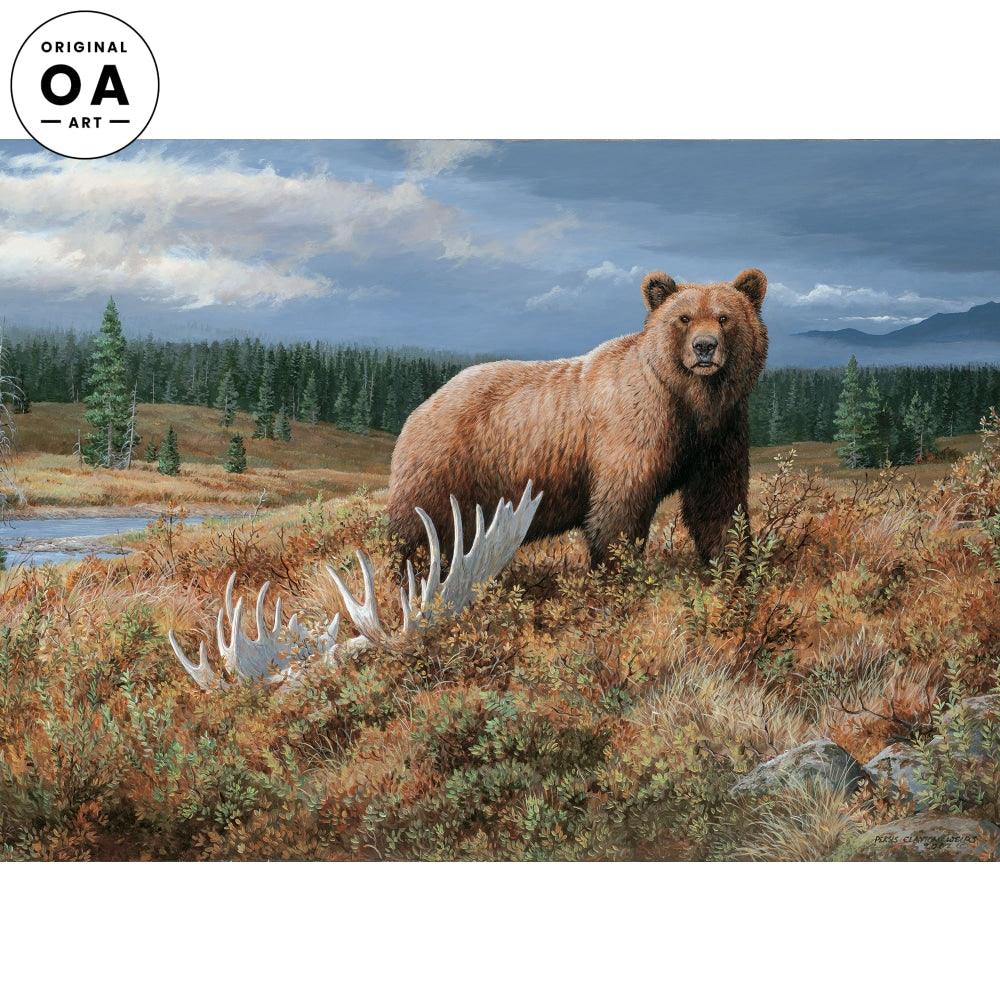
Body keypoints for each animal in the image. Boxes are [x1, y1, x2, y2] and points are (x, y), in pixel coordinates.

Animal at [386, 268, 768, 566]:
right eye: (684, 318)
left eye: (724, 317)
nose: (704, 347)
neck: (691, 401)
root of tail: (423, 405)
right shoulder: (633, 433)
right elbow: (619, 511)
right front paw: (616, 573)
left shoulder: (721, 434)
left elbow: (717, 502)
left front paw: (732, 563)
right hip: (448, 465)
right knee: (419, 529)